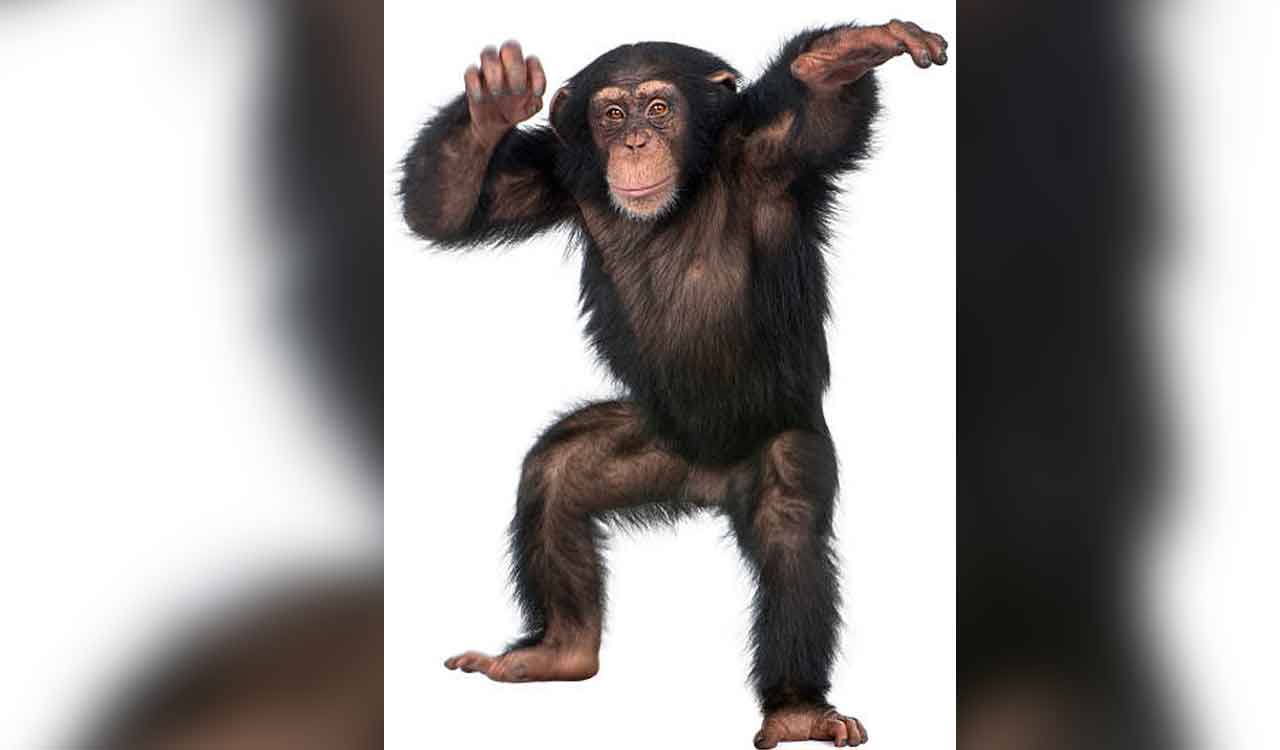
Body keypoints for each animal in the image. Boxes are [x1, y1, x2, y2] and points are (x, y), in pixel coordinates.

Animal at [400, 21, 947, 749]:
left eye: (659, 108)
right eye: (612, 113)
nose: (635, 140)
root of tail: (708, 485)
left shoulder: (773, 153)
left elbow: (819, 114)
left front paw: (838, 58)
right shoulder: (555, 176)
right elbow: (448, 209)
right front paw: (494, 103)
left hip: (777, 442)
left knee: (791, 525)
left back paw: (797, 707)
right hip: (652, 446)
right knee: (555, 475)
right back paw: (560, 650)